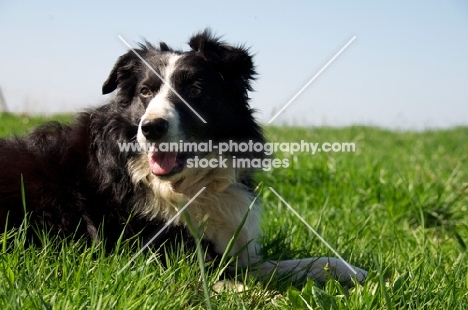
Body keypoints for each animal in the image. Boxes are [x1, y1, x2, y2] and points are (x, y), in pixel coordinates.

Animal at [0, 30, 366, 286]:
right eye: (145, 92)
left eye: (195, 91)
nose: (150, 128)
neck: (187, 183)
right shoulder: (155, 255)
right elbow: (237, 284)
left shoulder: (233, 248)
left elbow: (301, 264)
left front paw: (354, 272)